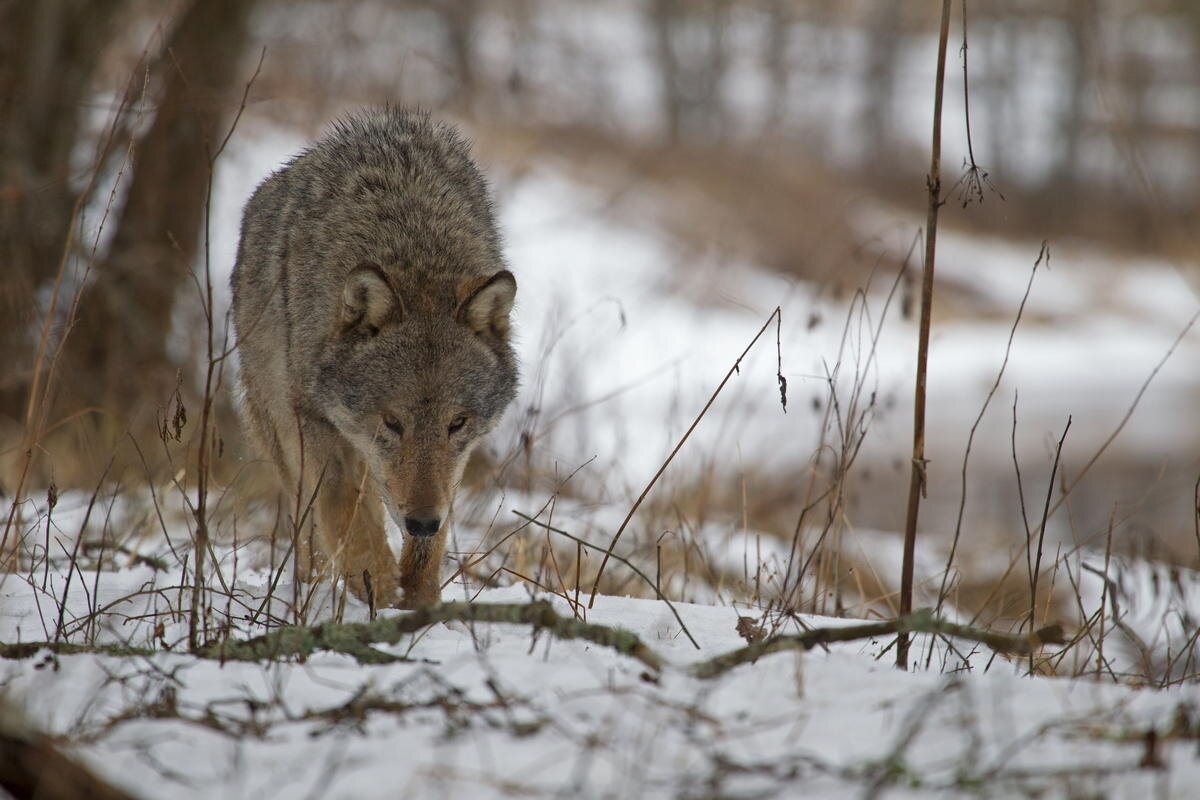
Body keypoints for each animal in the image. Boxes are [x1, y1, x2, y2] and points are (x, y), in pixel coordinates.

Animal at [231, 106, 518, 606]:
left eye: (457, 424)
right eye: (392, 422)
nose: (421, 522)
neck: (414, 247)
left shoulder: (451, 468)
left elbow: (432, 538)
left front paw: (419, 600)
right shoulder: (309, 417)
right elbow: (341, 506)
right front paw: (377, 585)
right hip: (274, 421)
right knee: (310, 528)